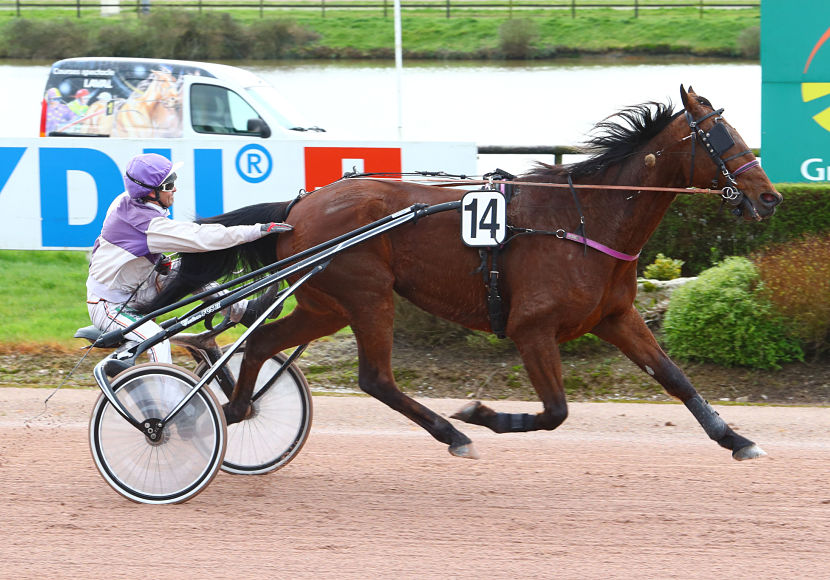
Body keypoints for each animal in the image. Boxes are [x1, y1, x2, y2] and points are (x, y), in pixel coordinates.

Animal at [148, 87, 788, 462]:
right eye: (721, 138)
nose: (770, 197)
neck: (585, 216)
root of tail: (298, 204)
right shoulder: (533, 328)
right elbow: (556, 411)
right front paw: (482, 415)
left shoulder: (615, 316)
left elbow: (675, 378)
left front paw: (736, 438)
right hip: (367, 295)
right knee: (374, 378)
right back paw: (453, 433)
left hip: (326, 304)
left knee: (261, 345)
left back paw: (234, 409)